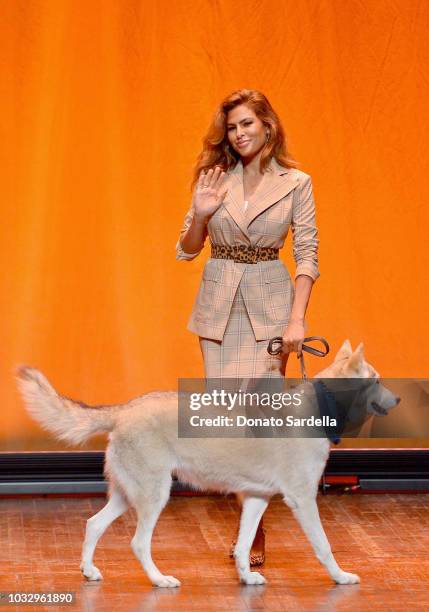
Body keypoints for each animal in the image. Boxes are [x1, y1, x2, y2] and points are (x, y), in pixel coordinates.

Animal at [16, 340, 398, 588]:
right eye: (377, 380)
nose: (397, 399)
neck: (321, 407)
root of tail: (124, 409)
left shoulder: (257, 499)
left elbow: (244, 544)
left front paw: (245, 576)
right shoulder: (302, 499)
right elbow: (324, 545)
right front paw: (340, 576)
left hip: (128, 494)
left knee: (93, 524)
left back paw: (89, 571)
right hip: (154, 496)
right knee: (138, 543)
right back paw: (159, 580)